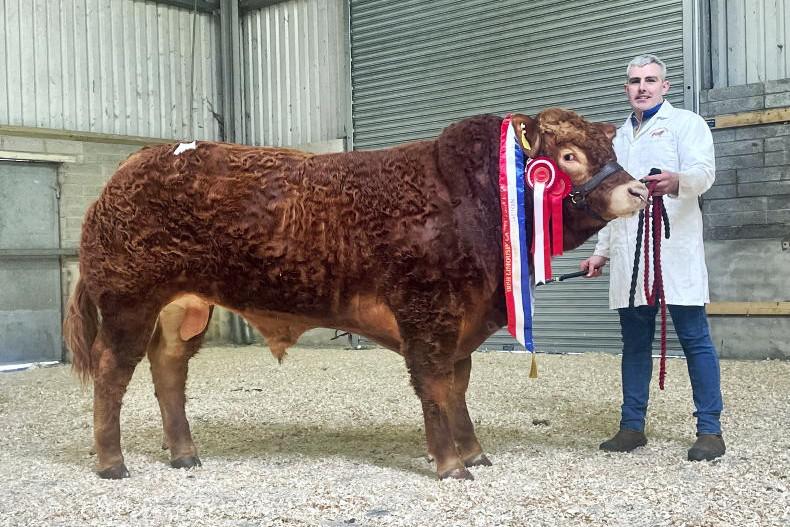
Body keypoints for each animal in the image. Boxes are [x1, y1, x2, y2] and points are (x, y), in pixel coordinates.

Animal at [63, 109, 647, 480]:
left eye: (609, 148)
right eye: (568, 155)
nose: (639, 189)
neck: (469, 201)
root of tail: (132, 164)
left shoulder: (460, 320)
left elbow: (457, 387)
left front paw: (475, 453)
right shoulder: (426, 312)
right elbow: (434, 387)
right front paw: (451, 465)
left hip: (184, 308)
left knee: (168, 371)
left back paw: (184, 454)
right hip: (128, 301)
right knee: (112, 373)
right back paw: (112, 463)